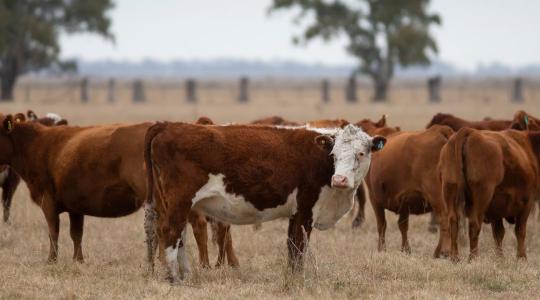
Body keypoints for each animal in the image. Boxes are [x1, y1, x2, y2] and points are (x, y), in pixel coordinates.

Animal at [0, 113, 238, 268]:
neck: (37, 144)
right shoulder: (76, 206)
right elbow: (76, 234)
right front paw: (79, 260)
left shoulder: (47, 200)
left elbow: (53, 232)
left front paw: (52, 260)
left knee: (180, 226)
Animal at [143, 123, 386, 282]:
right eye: (334, 155)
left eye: (361, 153)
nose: (340, 179)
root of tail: (168, 125)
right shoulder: (306, 208)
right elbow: (298, 247)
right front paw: (297, 280)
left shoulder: (295, 213)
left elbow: (292, 246)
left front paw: (292, 277)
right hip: (179, 199)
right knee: (170, 230)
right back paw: (174, 278)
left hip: (173, 203)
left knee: (178, 235)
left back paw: (185, 274)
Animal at [364, 125, 454, 255]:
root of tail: (440, 129)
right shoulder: (405, 201)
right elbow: (402, 225)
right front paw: (405, 250)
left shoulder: (374, 198)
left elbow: (381, 225)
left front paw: (381, 250)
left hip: (437, 196)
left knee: (444, 219)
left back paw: (445, 251)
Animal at [438, 127, 540, 260]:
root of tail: (470, 132)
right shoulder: (527, 202)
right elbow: (520, 231)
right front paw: (521, 258)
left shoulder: (496, 209)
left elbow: (498, 233)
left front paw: (500, 258)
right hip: (482, 195)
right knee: (474, 224)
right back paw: (473, 258)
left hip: (449, 189)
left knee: (453, 221)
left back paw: (455, 258)